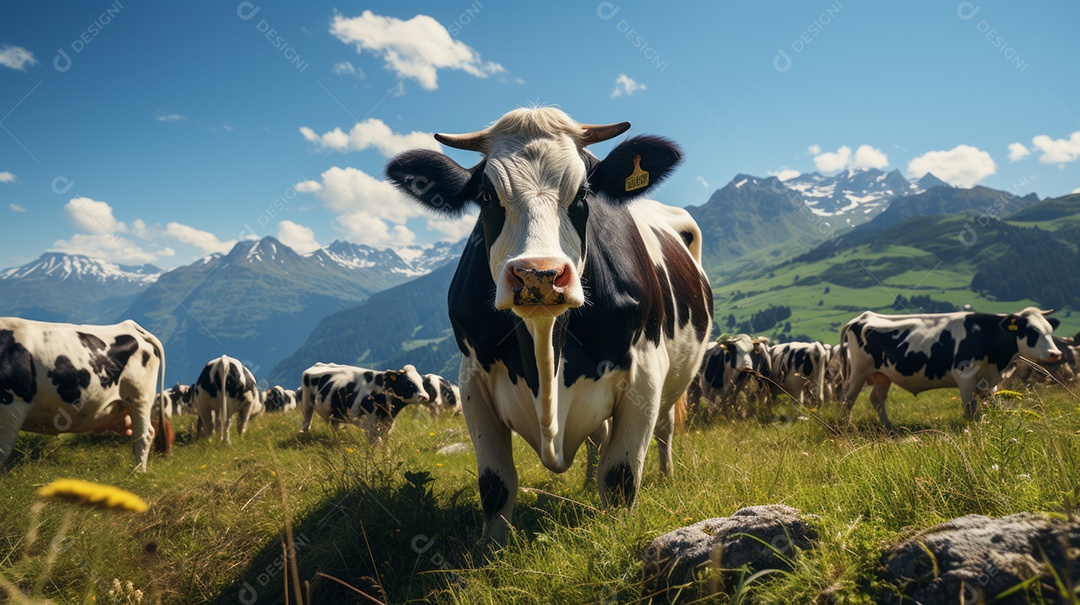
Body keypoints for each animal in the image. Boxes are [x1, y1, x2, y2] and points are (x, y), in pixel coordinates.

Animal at [0, 317, 164, 473]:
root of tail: (132, 326)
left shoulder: (12, 406)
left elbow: (3, 450)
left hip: (139, 397)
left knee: (144, 435)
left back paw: (138, 472)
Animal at [300, 360, 429, 436]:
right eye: (408, 382)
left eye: (422, 382)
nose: (425, 396)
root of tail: (317, 364)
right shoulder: (368, 421)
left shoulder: (386, 422)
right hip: (306, 404)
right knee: (306, 421)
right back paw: (304, 435)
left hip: (336, 412)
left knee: (334, 423)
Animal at [384, 106, 712, 540]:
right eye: (486, 196)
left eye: (583, 194)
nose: (538, 274)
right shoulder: (472, 377)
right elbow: (496, 483)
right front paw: (493, 548)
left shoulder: (644, 371)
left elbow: (621, 476)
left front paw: (615, 534)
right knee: (596, 438)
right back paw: (587, 482)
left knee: (663, 429)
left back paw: (667, 475)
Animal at [833, 306, 1062, 425]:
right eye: (1032, 332)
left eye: (1050, 330)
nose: (1055, 354)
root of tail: (862, 317)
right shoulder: (965, 375)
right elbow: (970, 407)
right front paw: (973, 428)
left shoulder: (987, 379)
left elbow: (992, 403)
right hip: (859, 371)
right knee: (847, 399)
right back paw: (846, 428)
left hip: (883, 374)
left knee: (877, 398)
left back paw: (889, 428)